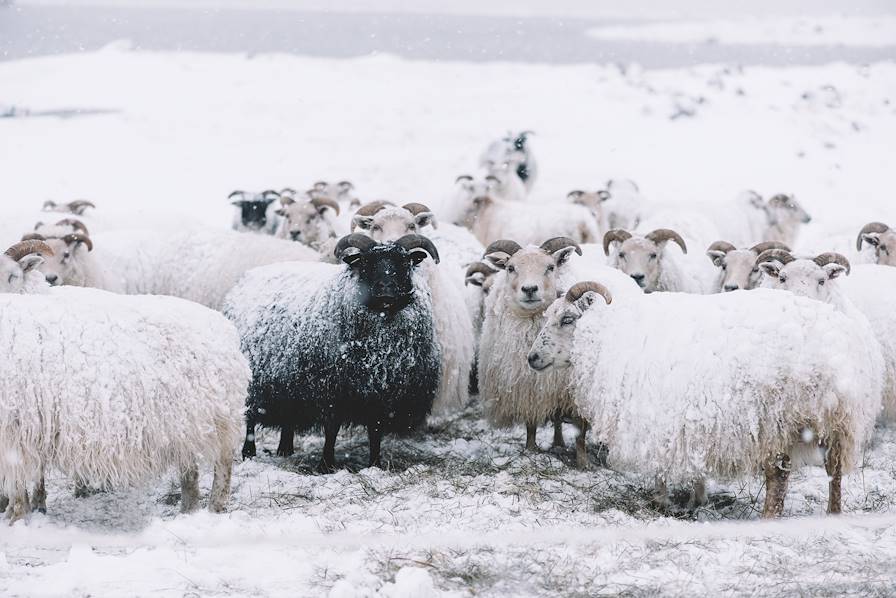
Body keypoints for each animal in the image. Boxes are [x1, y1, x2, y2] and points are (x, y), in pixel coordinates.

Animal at [0, 241, 248, 524]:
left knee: (224, 463)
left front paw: (17, 516)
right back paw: (189, 509)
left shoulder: (16, 427)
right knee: (189, 467)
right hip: (184, 422)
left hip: (220, 419)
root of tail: (226, 328)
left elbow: (17, 482)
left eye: (12, 276)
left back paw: (215, 507)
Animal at [226, 234, 442, 468]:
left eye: (404, 263)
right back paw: (249, 453)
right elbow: (331, 430)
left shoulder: (381, 396)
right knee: (250, 418)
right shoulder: (331, 389)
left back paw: (285, 450)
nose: (386, 288)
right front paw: (326, 464)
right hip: (255, 379)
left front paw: (375, 464)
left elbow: (375, 432)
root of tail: (247, 276)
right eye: (366, 264)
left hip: (288, 380)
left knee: (288, 417)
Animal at [476, 237, 596, 466]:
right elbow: (531, 425)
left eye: (550, 267)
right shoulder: (528, 387)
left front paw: (583, 462)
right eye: (510, 268)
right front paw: (530, 451)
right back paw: (557, 443)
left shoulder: (574, 391)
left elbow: (580, 432)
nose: (530, 289)